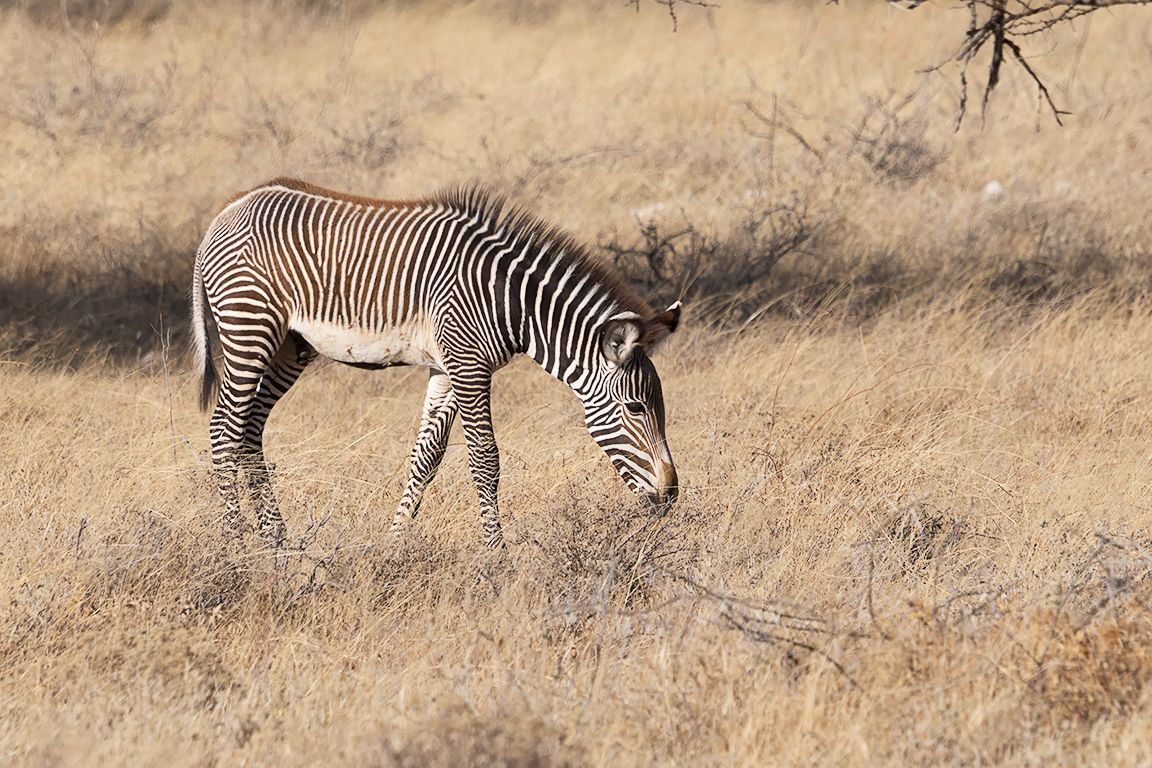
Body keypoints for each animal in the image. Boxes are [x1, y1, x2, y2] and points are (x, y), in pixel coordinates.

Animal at [191, 178, 680, 548]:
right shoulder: (469, 365)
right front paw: (496, 554)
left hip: (290, 344)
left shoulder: (447, 366)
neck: (512, 304)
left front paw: (393, 546)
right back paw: (237, 545)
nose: (671, 496)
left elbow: (426, 457)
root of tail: (225, 212)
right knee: (224, 429)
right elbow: (485, 458)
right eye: (636, 408)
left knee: (250, 431)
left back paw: (278, 542)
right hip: (249, 328)